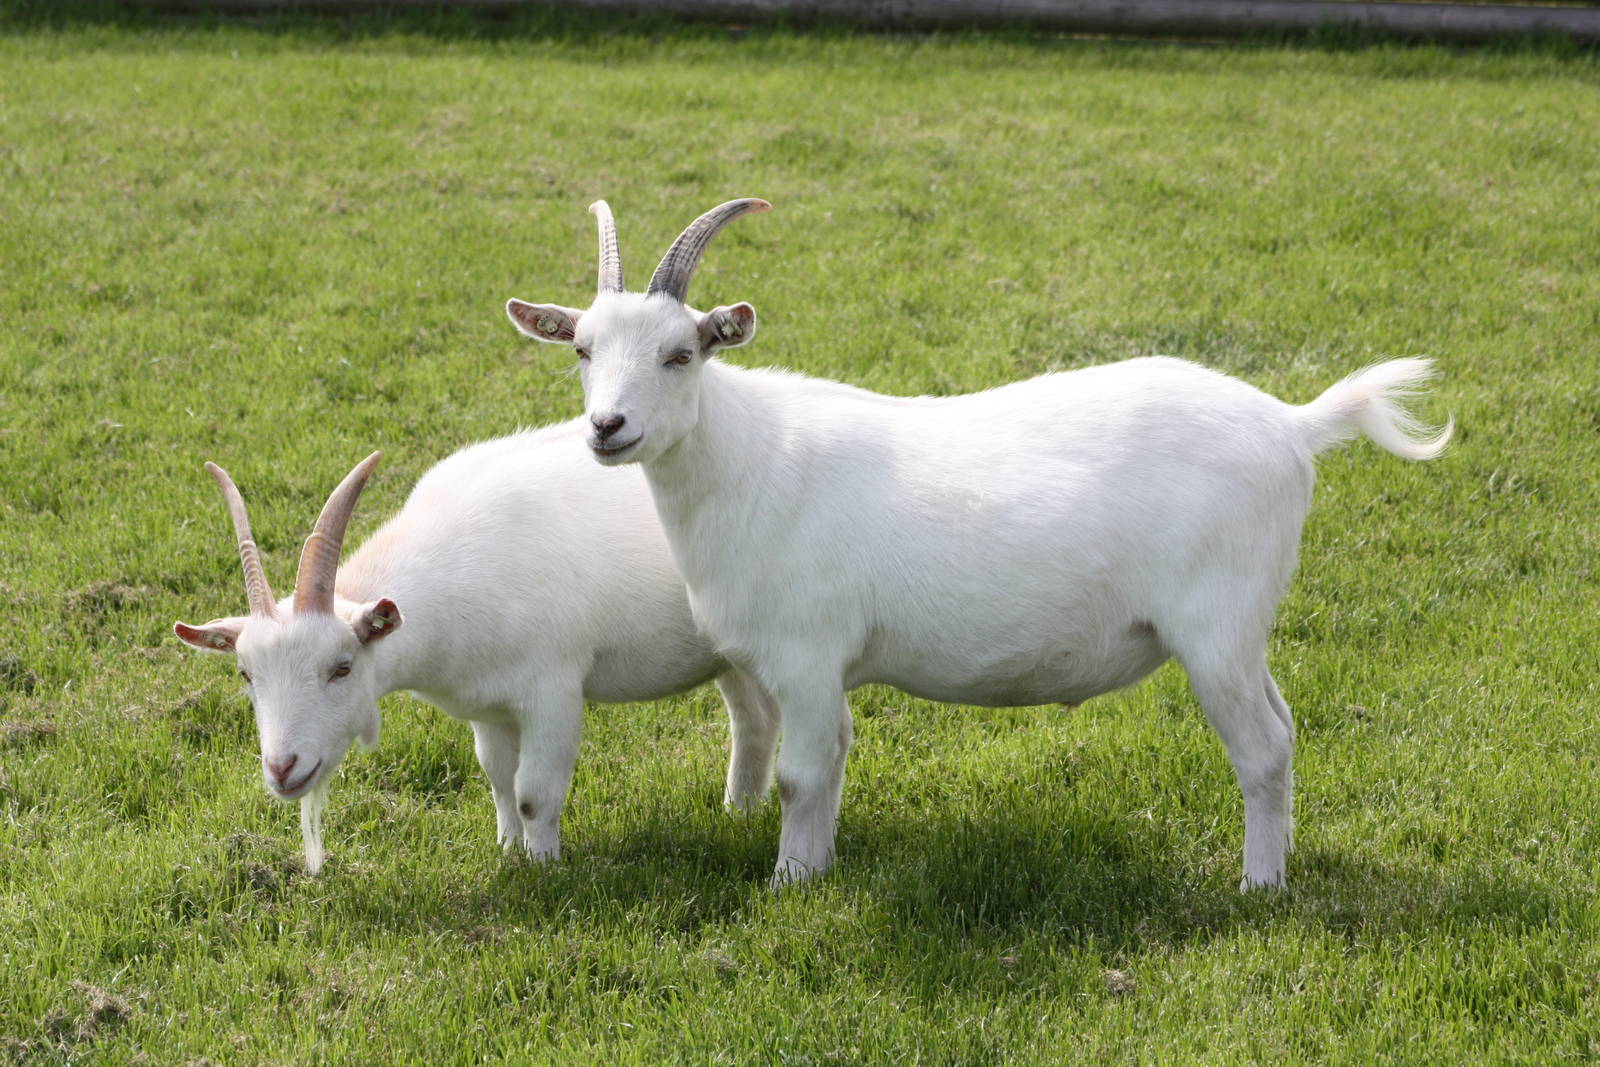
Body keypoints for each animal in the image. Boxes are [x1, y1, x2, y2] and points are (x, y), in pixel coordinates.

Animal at [174, 423, 777, 873]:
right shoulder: (488, 705)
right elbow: (498, 778)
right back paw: (741, 813)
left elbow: (534, 791)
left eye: (341, 668)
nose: (282, 769)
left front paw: (545, 868)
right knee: (754, 719)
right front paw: (510, 851)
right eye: (246, 674)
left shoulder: (553, 691)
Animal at [506, 198, 1452, 892]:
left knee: (1261, 748)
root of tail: (1293, 425)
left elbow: (804, 774)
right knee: (1284, 728)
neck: (752, 460)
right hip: (1245, 631)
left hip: (1215, 625)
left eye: (681, 353)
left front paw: (790, 885)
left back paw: (1260, 886)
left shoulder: (809, 653)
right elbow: (816, 762)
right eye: (582, 348)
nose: (607, 427)